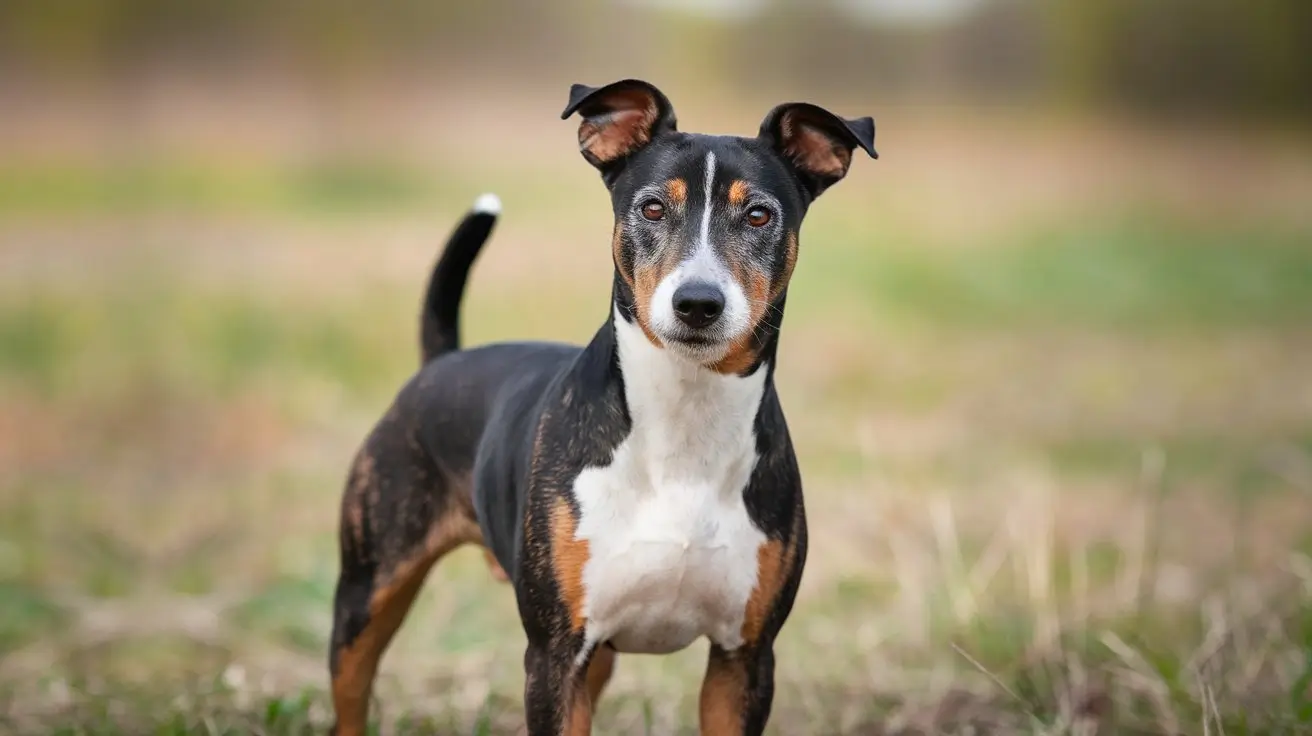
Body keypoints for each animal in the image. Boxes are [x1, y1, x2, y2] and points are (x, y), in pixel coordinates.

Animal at [330, 77, 881, 729]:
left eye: (758, 215)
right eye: (651, 208)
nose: (699, 302)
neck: (685, 417)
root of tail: (442, 361)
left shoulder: (744, 659)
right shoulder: (554, 655)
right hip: (365, 594)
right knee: (351, 692)